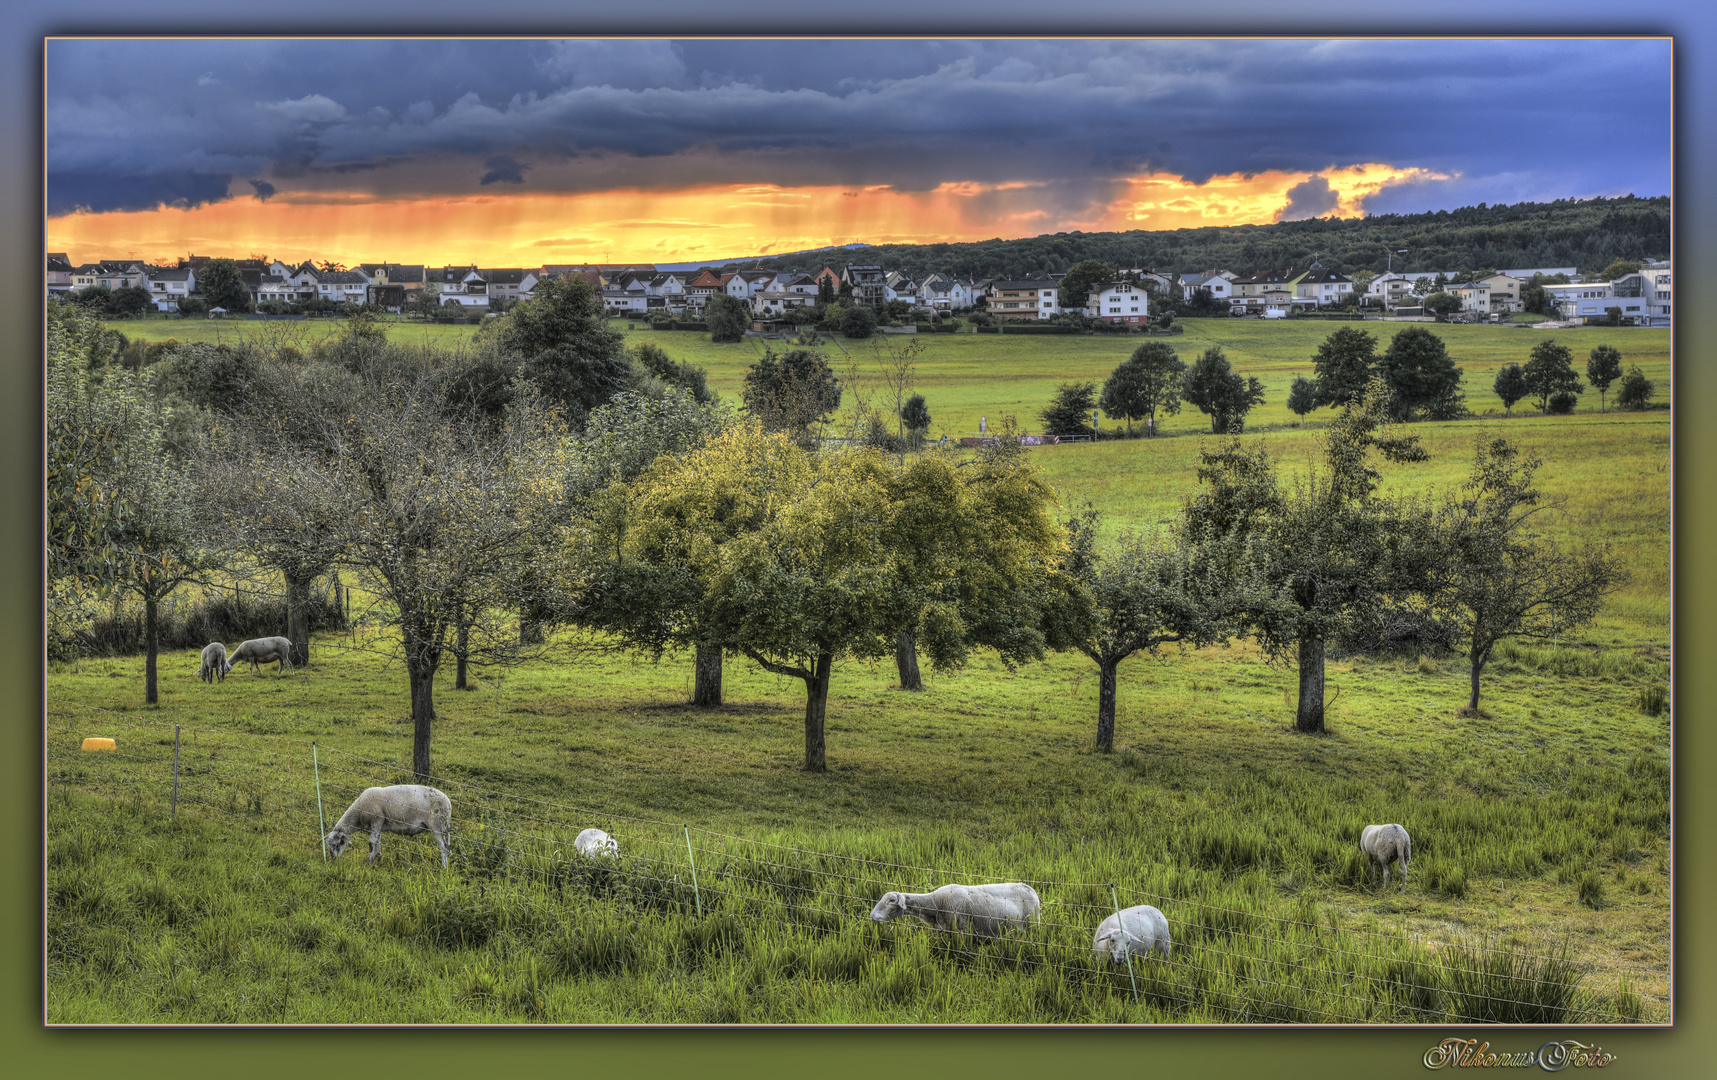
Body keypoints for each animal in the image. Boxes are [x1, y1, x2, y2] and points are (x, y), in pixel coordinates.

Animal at [322, 782, 453, 868]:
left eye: (338, 844)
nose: (333, 860)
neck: (358, 812)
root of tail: (448, 802)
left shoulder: (376, 820)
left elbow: (371, 843)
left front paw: (368, 863)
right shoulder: (379, 825)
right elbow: (377, 842)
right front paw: (377, 858)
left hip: (437, 824)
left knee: (443, 848)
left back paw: (444, 867)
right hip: (443, 826)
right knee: (446, 846)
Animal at [865, 879, 1037, 940]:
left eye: (891, 901)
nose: (872, 915)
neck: (936, 903)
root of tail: (1029, 888)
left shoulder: (961, 928)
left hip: (1032, 924)